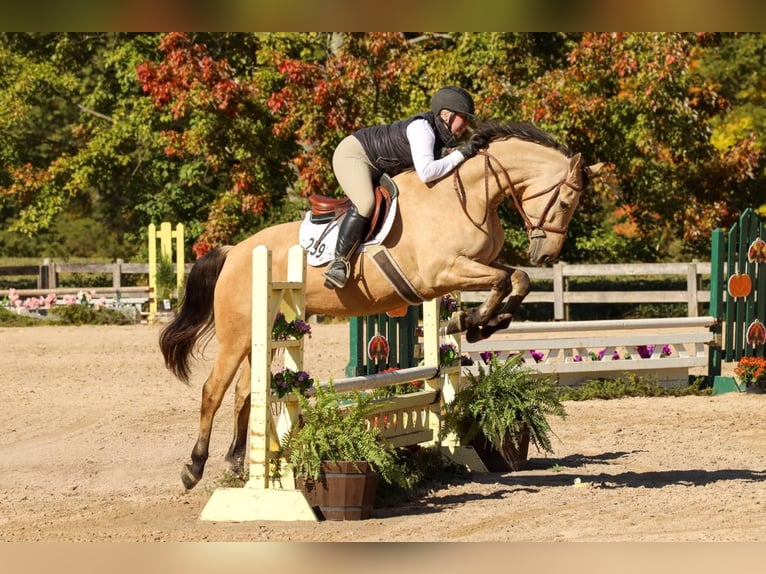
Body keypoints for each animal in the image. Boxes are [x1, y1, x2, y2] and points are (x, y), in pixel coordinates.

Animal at [159, 121, 608, 490]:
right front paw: (471, 320)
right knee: (213, 390)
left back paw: (237, 463)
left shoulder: (470, 267)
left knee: (243, 393)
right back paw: (193, 468)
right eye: (565, 202)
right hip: (237, 333)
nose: (545, 254)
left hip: (264, 331)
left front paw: (482, 324)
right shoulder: (442, 271)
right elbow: (503, 280)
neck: (466, 196)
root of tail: (237, 251)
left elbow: (516, 279)